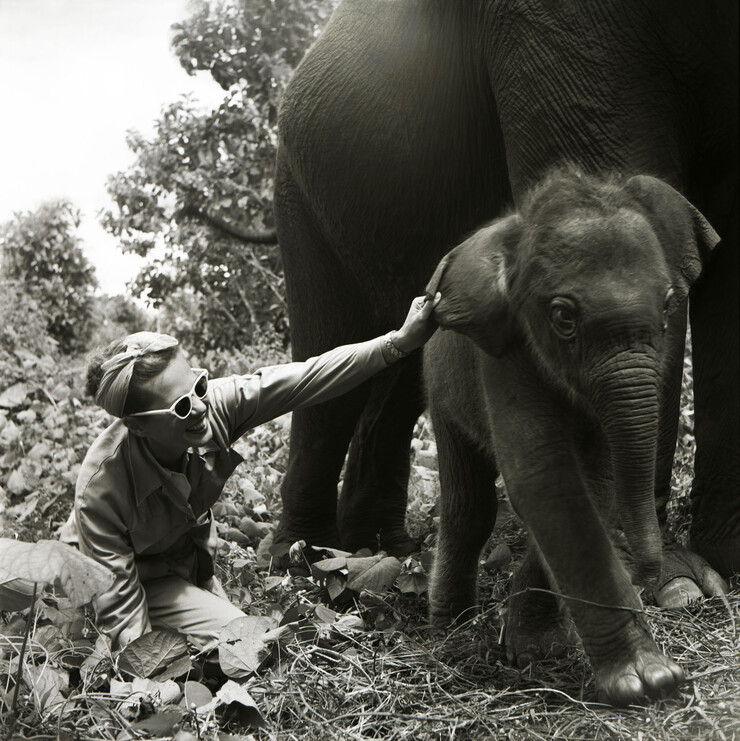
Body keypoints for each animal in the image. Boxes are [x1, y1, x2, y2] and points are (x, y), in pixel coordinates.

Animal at [274, 0, 736, 576]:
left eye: (671, 302)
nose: (649, 567)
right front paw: (674, 582)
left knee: (399, 376)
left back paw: (381, 550)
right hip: (302, 199)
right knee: (331, 363)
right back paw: (301, 559)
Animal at [424, 169, 720, 704]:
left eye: (670, 304)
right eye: (564, 316)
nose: (647, 579)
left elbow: (595, 483)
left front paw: (539, 649)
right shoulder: (504, 354)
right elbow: (545, 477)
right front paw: (647, 680)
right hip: (439, 384)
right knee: (467, 506)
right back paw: (449, 627)